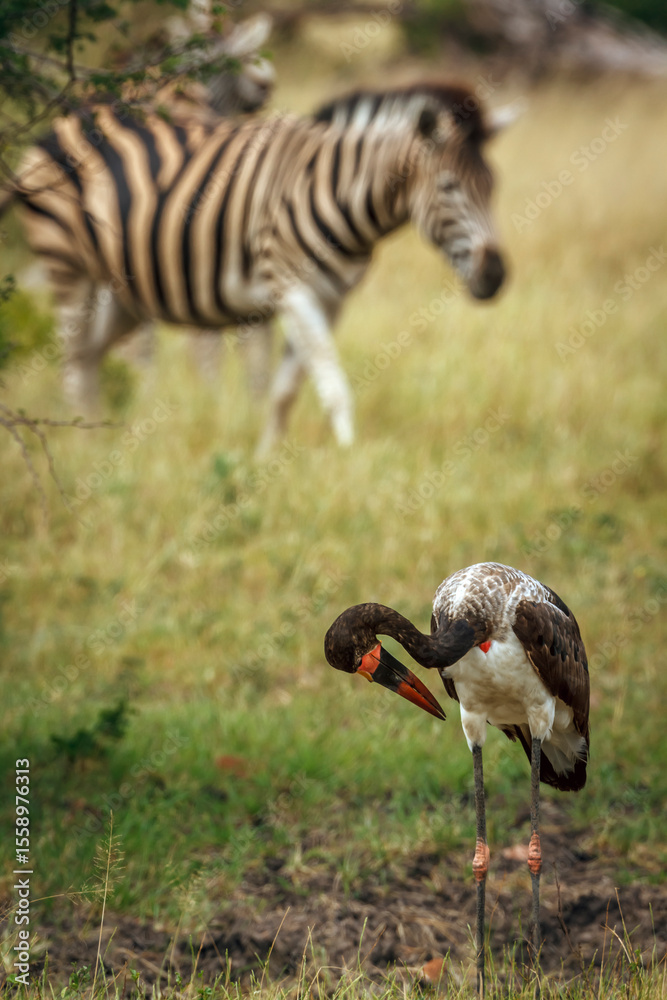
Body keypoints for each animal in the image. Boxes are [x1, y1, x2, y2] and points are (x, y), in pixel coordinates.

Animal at [3, 81, 510, 452]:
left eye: (493, 186)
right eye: (449, 186)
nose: (496, 276)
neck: (335, 188)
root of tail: (55, 126)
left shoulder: (330, 298)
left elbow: (286, 390)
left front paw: (266, 464)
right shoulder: (292, 287)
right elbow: (331, 384)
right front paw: (350, 461)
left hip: (121, 294)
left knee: (90, 358)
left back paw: (99, 445)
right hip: (67, 268)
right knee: (73, 364)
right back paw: (81, 455)